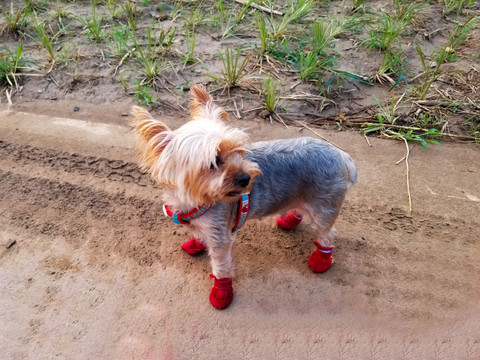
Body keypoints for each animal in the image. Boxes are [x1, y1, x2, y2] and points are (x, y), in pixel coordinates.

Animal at [131, 84, 356, 310]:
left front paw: (221, 293)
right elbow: (200, 235)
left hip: (324, 205)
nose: (246, 178)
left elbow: (221, 267)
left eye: (238, 151)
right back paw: (290, 220)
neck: (198, 197)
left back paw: (320, 261)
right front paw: (197, 243)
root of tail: (342, 156)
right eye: (213, 161)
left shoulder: (220, 237)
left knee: (327, 234)